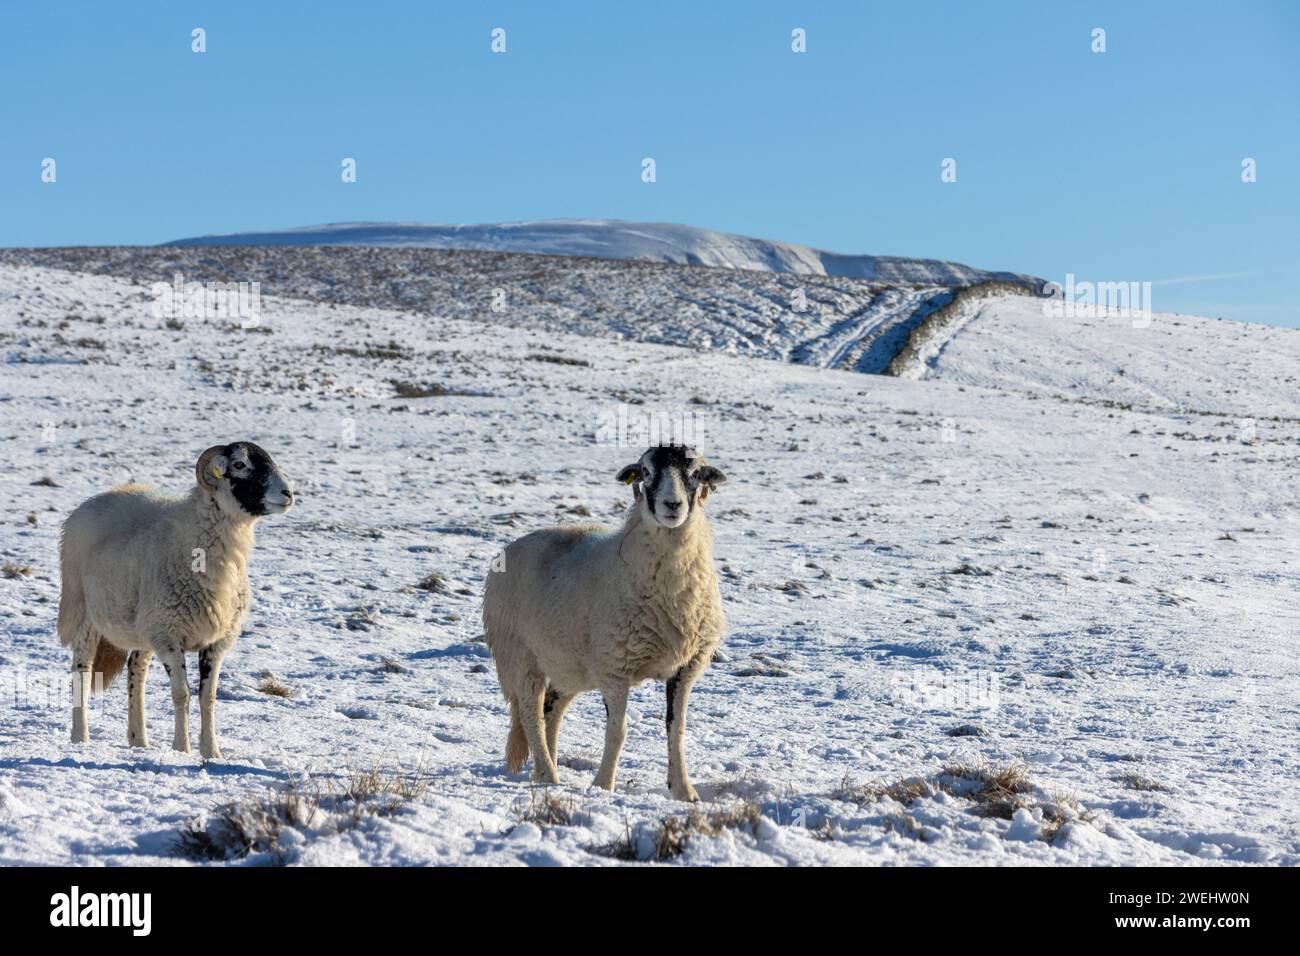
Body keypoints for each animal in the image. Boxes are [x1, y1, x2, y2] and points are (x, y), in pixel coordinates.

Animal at [58, 442, 295, 764]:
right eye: (239, 465)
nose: (288, 494)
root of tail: (101, 496)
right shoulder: (170, 636)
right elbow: (182, 694)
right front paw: (182, 748)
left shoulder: (215, 642)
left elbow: (208, 697)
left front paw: (211, 752)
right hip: (84, 611)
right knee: (81, 671)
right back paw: (80, 737)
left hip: (144, 628)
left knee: (136, 670)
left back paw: (138, 740)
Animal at [480, 444, 728, 806]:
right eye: (645, 471)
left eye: (695, 473)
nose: (672, 505)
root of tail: (512, 546)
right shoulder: (615, 667)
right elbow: (618, 730)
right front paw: (603, 785)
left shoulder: (687, 666)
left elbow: (677, 729)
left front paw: (685, 791)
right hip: (519, 655)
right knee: (531, 714)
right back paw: (548, 774)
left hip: (571, 663)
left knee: (552, 709)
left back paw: (545, 771)